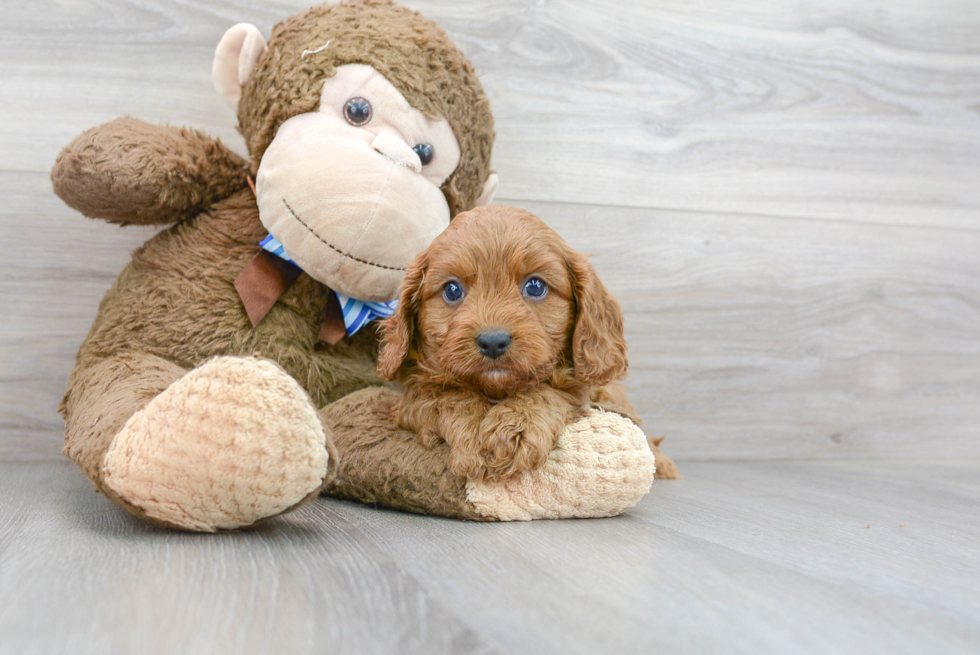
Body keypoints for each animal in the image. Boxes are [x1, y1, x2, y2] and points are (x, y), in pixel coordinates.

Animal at [374, 205, 644, 482]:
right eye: (452, 290)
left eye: (535, 286)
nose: (493, 341)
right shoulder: (407, 402)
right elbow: (444, 393)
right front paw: (473, 433)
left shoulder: (587, 391)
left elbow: (551, 390)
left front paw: (520, 424)